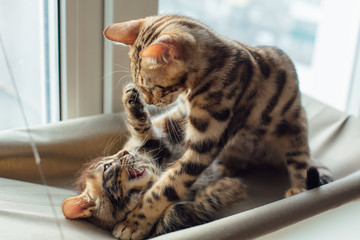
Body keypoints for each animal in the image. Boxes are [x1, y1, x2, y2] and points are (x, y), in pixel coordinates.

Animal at [62, 85, 246, 238]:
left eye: (114, 155)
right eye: (107, 166)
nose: (124, 152)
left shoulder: (157, 144)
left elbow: (143, 128)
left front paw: (132, 100)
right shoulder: (177, 219)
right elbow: (196, 205)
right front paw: (228, 189)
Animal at [103, 14, 330, 238]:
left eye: (154, 87)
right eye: (142, 86)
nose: (150, 101)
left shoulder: (205, 143)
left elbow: (166, 187)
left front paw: (135, 223)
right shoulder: (181, 116)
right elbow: (154, 129)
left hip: (294, 131)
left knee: (300, 163)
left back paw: (298, 189)